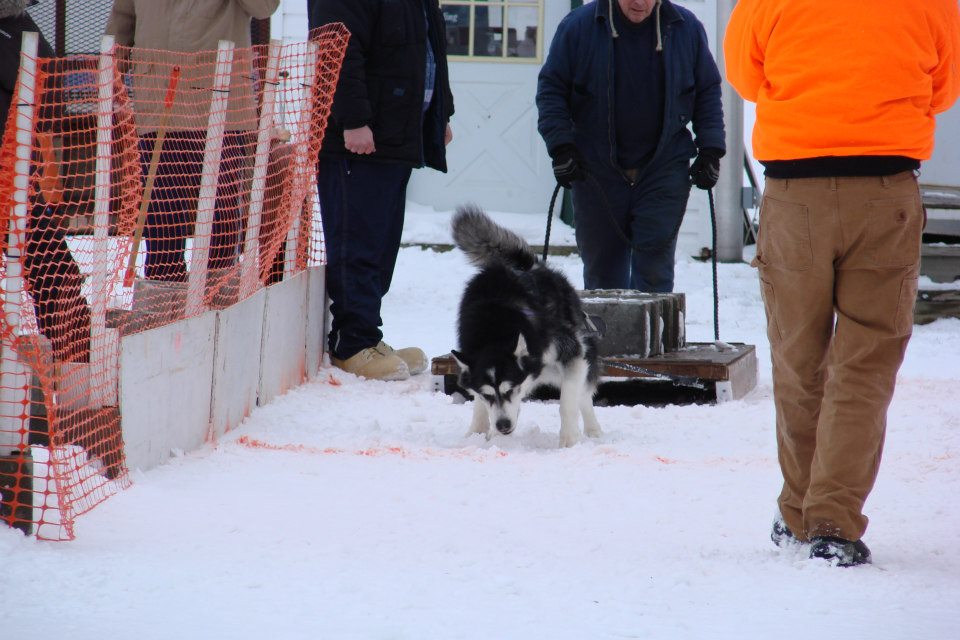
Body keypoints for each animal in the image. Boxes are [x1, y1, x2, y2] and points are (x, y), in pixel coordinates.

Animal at [450, 208, 600, 448]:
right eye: (488, 395)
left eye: (510, 389)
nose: (502, 425)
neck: (494, 328)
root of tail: (529, 266)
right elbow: (480, 404)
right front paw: (478, 433)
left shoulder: (571, 353)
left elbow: (567, 403)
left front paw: (569, 440)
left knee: (583, 395)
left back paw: (594, 431)